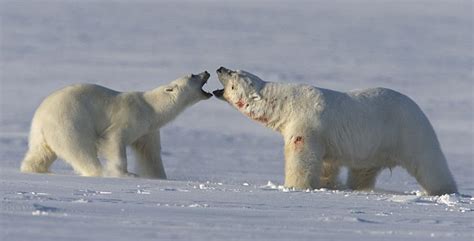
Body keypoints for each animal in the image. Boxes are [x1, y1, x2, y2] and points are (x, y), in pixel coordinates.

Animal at [20, 70, 211, 178]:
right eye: (193, 75)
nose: (206, 71)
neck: (151, 108)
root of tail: (40, 116)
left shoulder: (148, 130)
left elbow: (150, 154)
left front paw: (159, 177)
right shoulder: (131, 116)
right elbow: (115, 140)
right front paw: (126, 174)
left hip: (42, 133)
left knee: (41, 152)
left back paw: (35, 169)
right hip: (70, 122)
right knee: (80, 150)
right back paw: (99, 172)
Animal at [213, 67, 458, 195]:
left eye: (233, 76)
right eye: (234, 70)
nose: (220, 68)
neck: (286, 102)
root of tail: (418, 108)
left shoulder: (306, 124)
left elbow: (301, 154)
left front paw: (295, 186)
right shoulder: (324, 137)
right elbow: (327, 163)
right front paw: (327, 184)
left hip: (408, 131)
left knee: (428, 162)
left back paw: (444, 190)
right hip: (374, 147)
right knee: (362, 172)